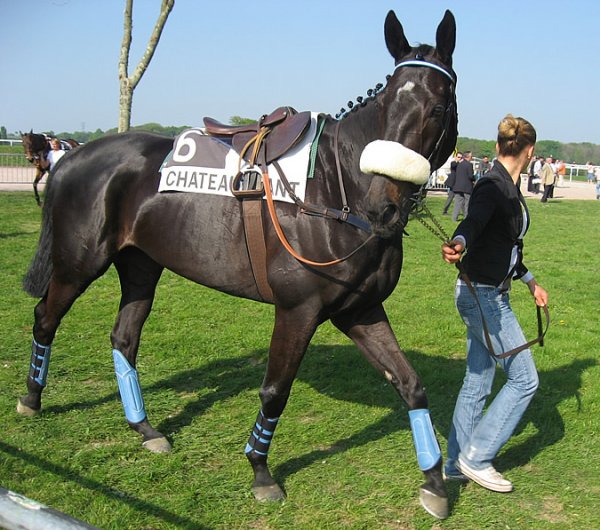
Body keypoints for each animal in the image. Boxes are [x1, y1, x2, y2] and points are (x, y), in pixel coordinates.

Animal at [17, 10, 460, 516]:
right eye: (387, 106)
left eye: (437, 108)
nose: (383, 205)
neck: (334, 188)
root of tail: (72, 156)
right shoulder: (298, 310)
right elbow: (275, 390)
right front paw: (260, 470)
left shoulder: (360, 310)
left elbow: (410, 384)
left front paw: (434, 482)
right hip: (78, 265)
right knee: (45, 318)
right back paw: (31, 398)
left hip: (141, 267)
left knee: (124, 338)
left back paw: (144, 428)